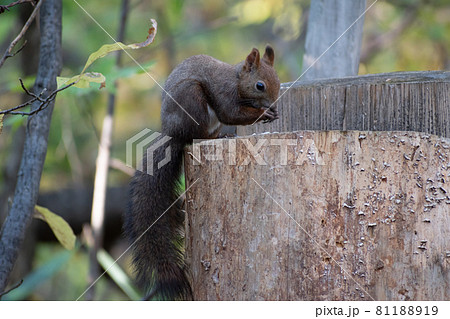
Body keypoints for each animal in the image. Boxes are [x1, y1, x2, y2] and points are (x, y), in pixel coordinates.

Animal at [126, 46, 280, 302]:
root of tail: (172, 132)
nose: (274, 104)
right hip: (193, 100)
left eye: (277, 80)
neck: (237, 80)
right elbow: (232, 114)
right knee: (196, 135)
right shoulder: (224, 94)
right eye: (260, 85)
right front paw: (263, 113)